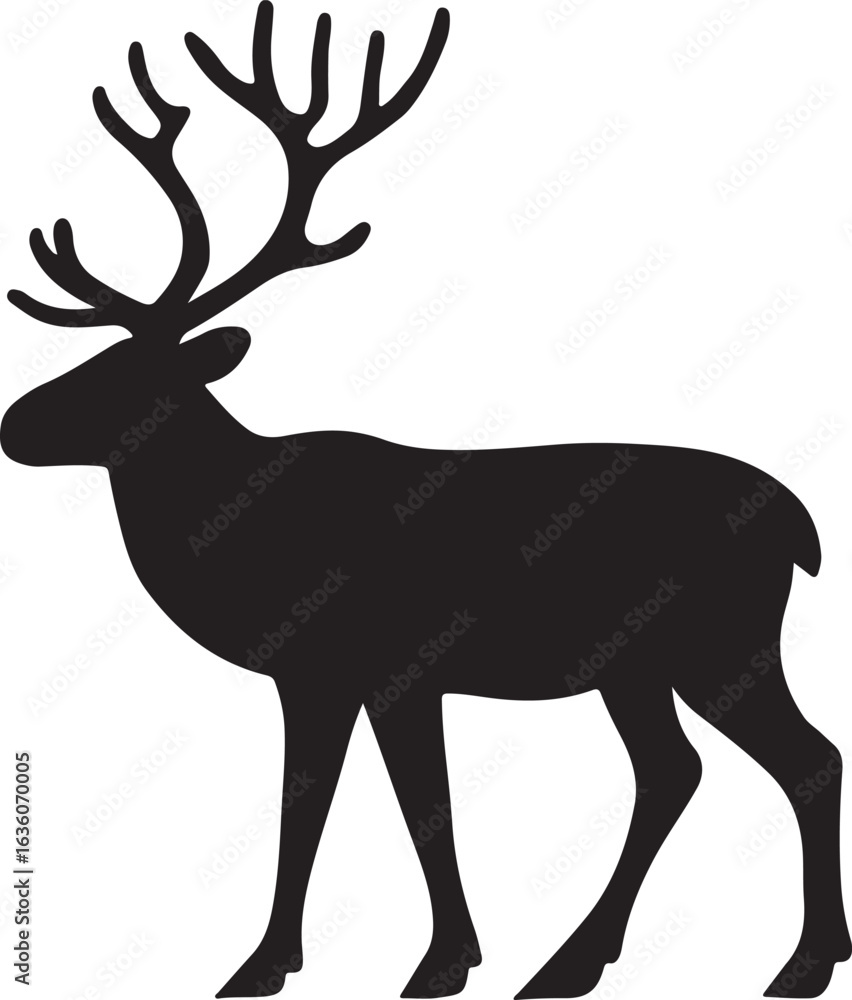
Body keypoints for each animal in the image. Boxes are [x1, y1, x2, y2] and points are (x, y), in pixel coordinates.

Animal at [2, 3, 849, 998]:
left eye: (128, 377)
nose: (14, 422)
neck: (242, 535)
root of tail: (802, 527)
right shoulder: (318, 675)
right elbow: (312, 803)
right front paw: (271, 963)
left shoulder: (393, 663)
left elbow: (417, 805)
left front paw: (439, 962)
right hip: (639, 664)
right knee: (673, 770)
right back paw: (574, 962)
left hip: (723, 641)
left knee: (806, 758)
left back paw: (802, 961)